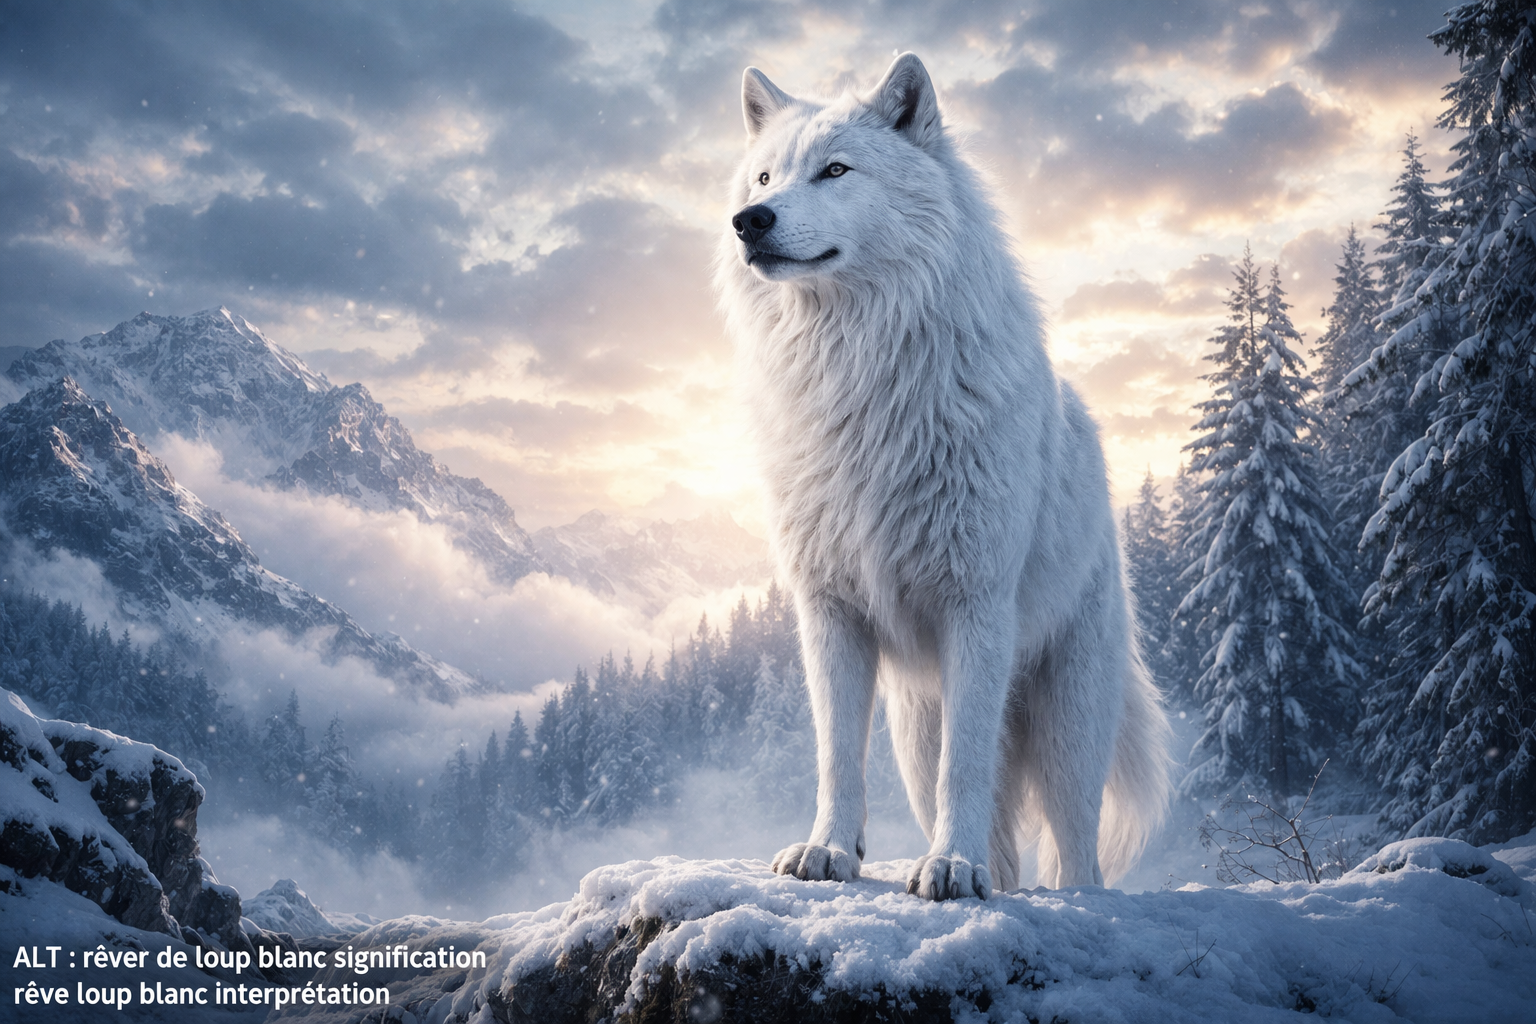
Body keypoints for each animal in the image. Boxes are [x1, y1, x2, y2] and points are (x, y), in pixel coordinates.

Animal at [714, 53, 1172, 899]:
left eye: (835, 170)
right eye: (763, 177)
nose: (749, 220)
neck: (857, 379)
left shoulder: (977, 606)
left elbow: (969, 764)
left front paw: (952, 868)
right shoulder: (828, 613)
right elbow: (836, 757)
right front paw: (828, 852)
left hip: (1066, 726)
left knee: (1075, 843)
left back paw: (1039, 886)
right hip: (913, 726)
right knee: (998, 838)